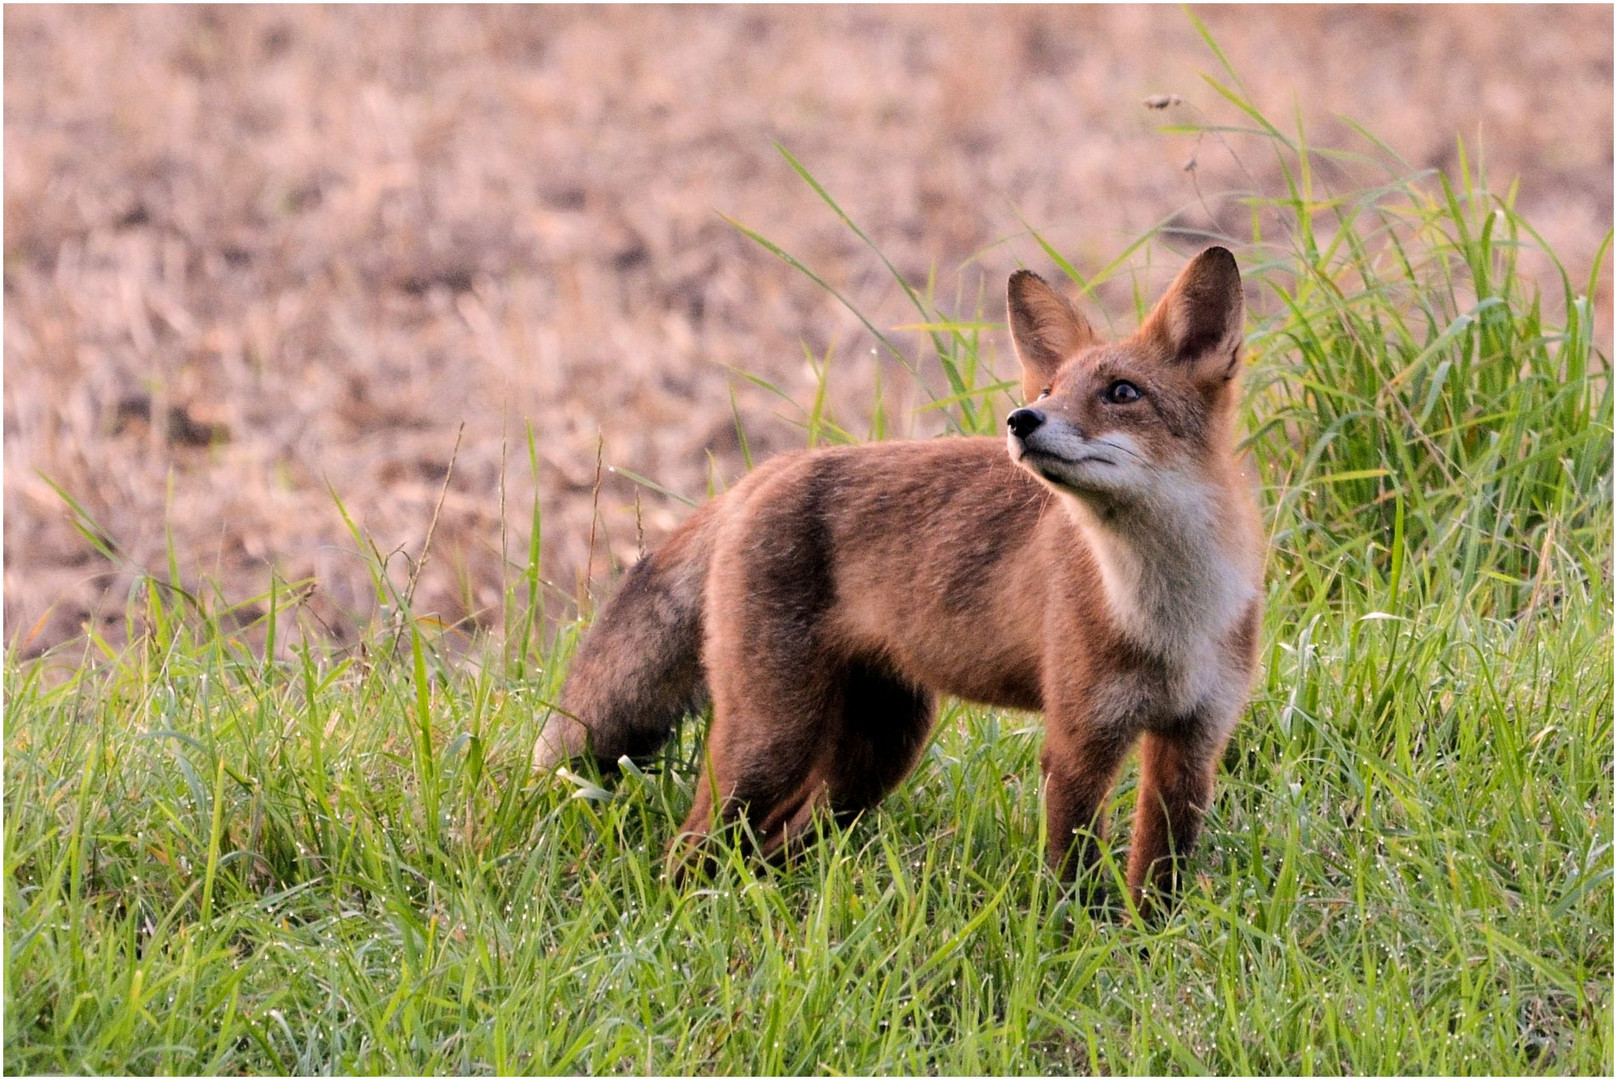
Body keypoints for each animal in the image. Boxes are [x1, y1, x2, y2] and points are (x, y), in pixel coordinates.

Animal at [536, 247, 1267, 911]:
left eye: (1122, 393)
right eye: (1047, 392)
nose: (1021, 420)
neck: (1169, 617)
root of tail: (764, 472)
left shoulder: (1194, 740)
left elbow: (1160, 881)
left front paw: (1146, 946)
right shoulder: (1081, 738)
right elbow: (1071, 884)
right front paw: (1076, 950)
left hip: (873, 760)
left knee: (772, 846)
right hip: (772, 744)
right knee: (690, 850)